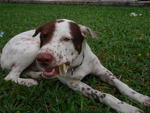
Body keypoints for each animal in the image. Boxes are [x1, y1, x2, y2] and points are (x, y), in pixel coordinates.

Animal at [0, 19, 150, 112]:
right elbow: (103, 94)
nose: (42, 59)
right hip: (33, 48)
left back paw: (38, 75)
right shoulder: (73, 83)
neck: (78, 63)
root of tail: (1, 53)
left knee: (24, 71)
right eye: (43, 36)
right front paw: (127, 107)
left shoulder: (102, 70)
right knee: (11, 76)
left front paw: (141, 97)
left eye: (66, 39)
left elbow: (122, 85)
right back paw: (29, 82)